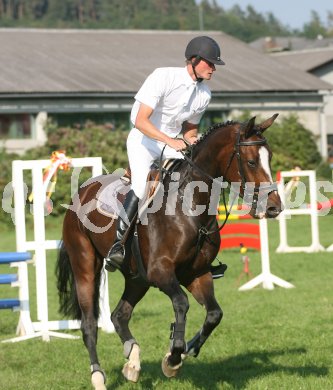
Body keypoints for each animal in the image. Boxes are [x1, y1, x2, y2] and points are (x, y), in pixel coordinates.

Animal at [55, 112, 282, 386]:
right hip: (86, 266)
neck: (189, 207)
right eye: (250, 161)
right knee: (89, 323)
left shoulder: (196, 274)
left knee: (120, 315)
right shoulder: (161, 272)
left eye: (270, 157)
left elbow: (214, 314)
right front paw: (173, 358)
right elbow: (181, 303)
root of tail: (82, 190)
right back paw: (98, 376)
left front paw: (186, 350)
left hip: (137, 277)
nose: (274, 207)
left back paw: (132, 361)